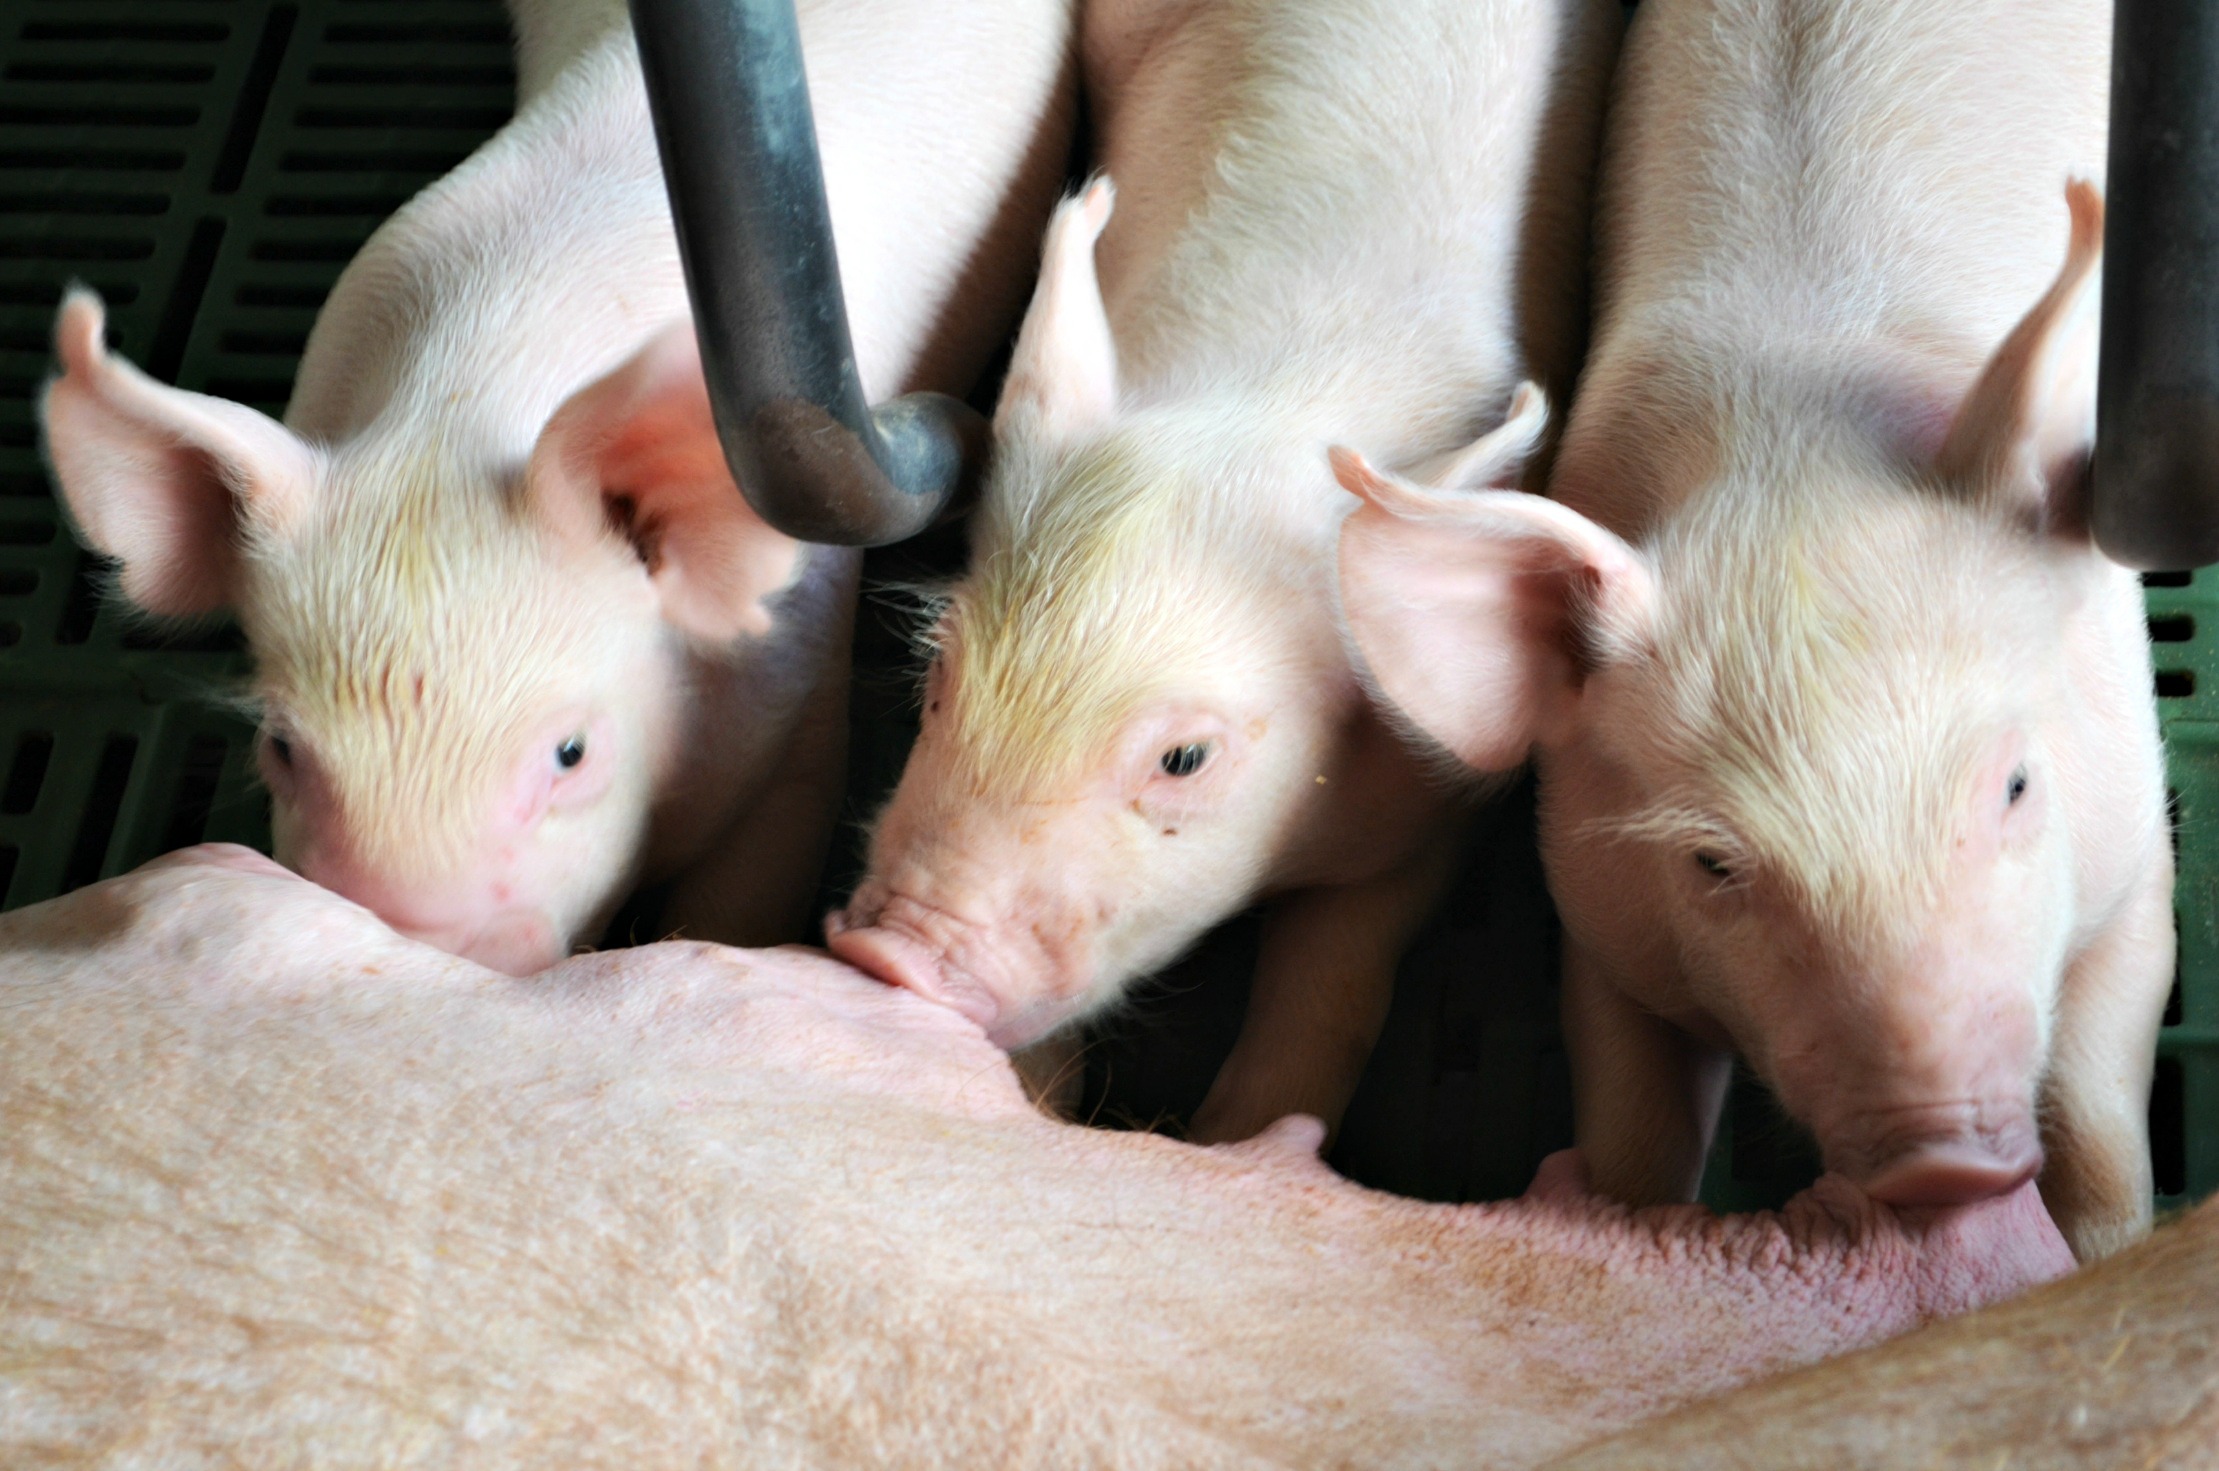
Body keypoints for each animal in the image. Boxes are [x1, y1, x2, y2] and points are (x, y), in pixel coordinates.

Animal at [38, 0, 1077, 974]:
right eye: (284, 747)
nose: (415, 938)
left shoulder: (799, 700)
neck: (457, 410)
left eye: (570, 751)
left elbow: (745, 894)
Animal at [828, 0, 1622, 1143]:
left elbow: (1329, 987)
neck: (1268, 401)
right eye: (938, 679)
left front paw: (1232, 1139)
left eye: (1184, 759)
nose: (889, 950)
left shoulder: (1428, 802)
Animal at [1334, 0, 2171, 1261]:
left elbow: (2097, 1101)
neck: (1788, 459)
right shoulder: (1603, 923)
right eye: (1714, 861)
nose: (1938, 1157)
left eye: (2016, 784)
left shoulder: (2134, 848)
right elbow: (1632, 1126)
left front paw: (2105, 1252)